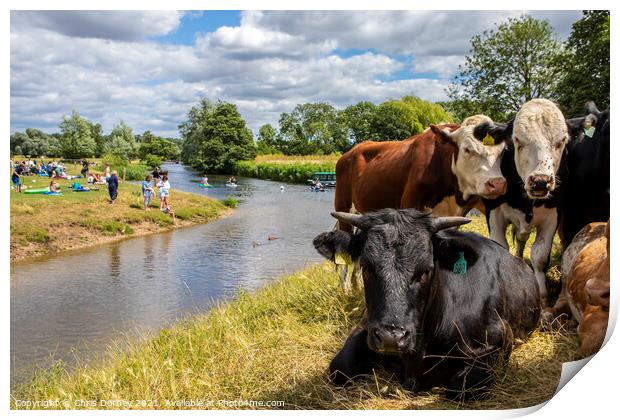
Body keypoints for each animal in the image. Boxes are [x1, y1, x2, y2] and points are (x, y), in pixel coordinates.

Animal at [312, 210, 540, 400]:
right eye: (366, 267)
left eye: (425, 271)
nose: (390, 338)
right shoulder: (365, 324)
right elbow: (340, 368)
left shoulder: (500, 338)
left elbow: (460, 387)